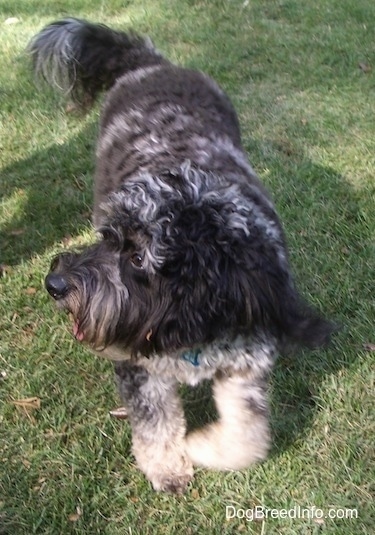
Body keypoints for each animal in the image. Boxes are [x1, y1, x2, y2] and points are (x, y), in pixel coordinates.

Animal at [28, 16, 334, 494]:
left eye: (137, 258)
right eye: (107, 237)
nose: (55, 284)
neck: (191, 320)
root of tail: (152, 64)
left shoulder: (246, 360)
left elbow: (247, 435)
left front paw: (203, 447)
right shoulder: (137, 364)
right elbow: (155, 424)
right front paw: (169, 467)